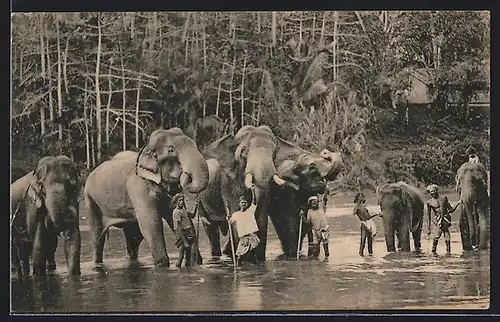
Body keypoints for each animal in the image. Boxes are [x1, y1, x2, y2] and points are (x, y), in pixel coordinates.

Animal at [85, 127, 210, 268]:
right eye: (171, 150)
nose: (186, 175)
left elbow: (175, 217)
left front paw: (198, 262)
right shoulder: (138, 188)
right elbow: (151, 224)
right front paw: (162, 265)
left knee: (134, 237)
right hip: (91, 200)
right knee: (97, 236)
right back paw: (97, 263)